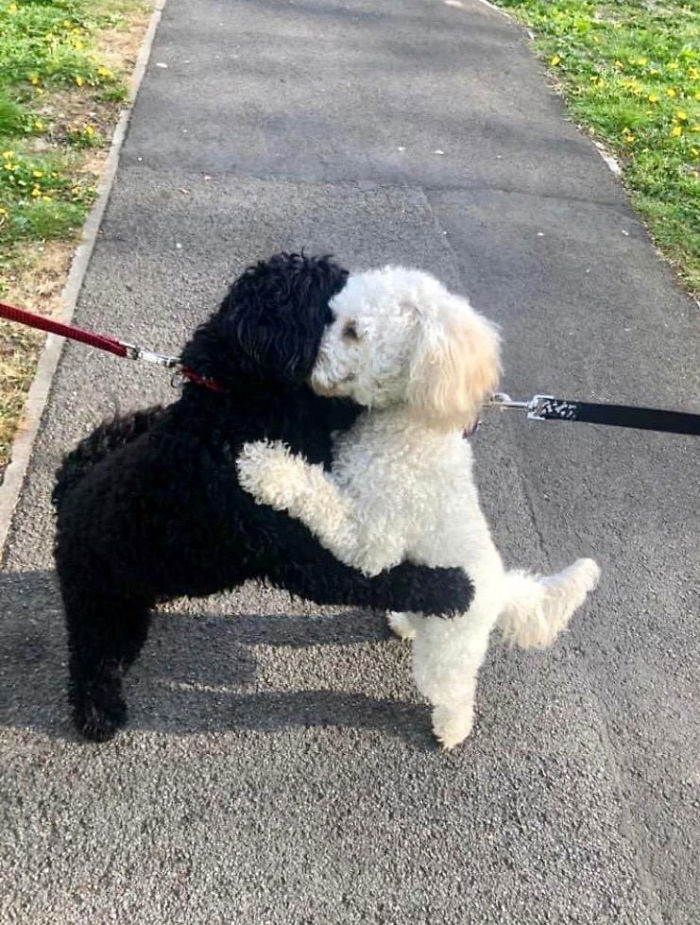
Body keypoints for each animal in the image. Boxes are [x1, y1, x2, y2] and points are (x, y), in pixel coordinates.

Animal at [52, 254, 474, 744]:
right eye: (331, 310)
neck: (234, 406)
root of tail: (67, 498)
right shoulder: (301, 557)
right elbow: (381, 578)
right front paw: (453, 588)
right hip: (101, 608)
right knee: (94, 661)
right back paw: (98, 714)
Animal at [238, 264, 600, 748]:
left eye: (352, 331)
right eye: (331, 316)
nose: (305, 366)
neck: (411, 422)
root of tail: (500, 588)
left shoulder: (371, 541)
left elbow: (318, 493)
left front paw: (265, 468)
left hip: (448, 652)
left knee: (454, 692)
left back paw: (452, 730)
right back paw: (404, 623)